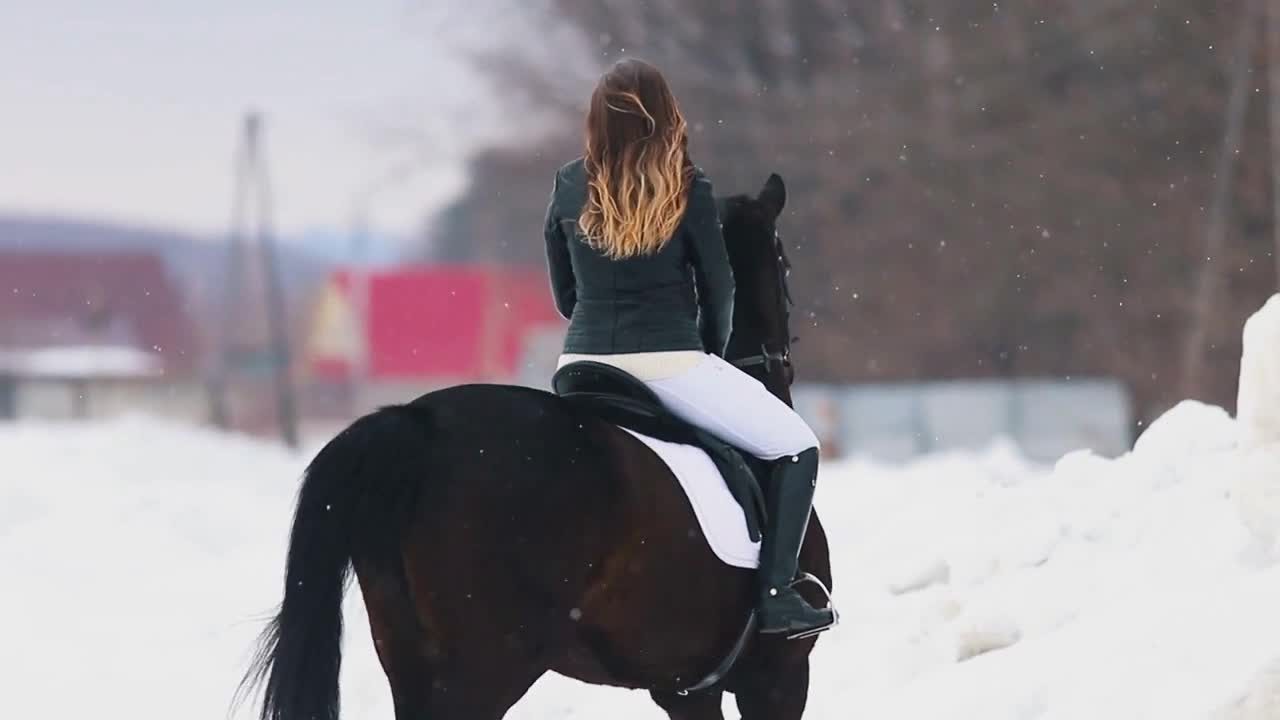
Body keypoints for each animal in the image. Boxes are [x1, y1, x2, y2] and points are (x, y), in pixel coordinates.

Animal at [240, 174, 834, 717]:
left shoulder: (687, 689)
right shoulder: (779, 679)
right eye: (784, 264)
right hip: (488, 667)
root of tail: (416, 421)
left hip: (409, 661)